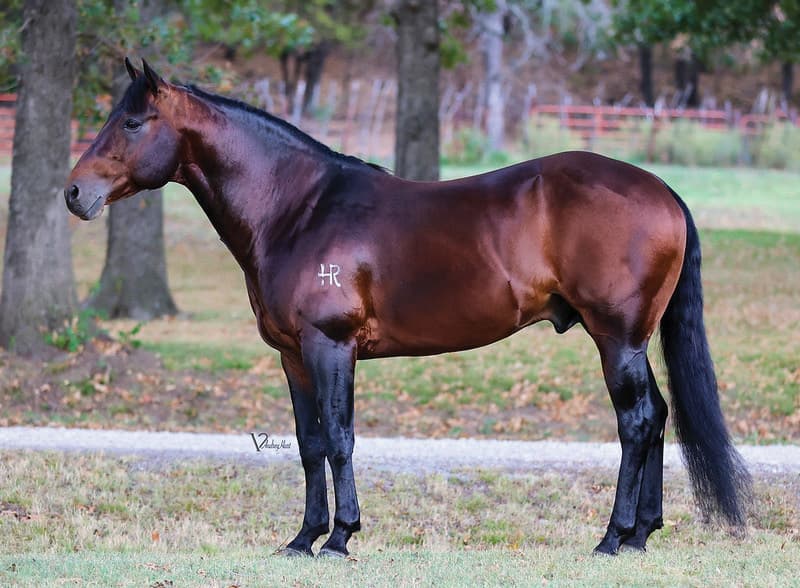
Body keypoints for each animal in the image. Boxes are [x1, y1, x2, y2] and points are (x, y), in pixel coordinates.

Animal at [65, 59, 751, 557]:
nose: (74, 193)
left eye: (133, 122)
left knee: (636, 422)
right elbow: (309, 444)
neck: (298, 210)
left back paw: (612, 538)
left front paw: (340, 539)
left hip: (616, 339)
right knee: (657, 416)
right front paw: (303, 538)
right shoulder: (293, 357)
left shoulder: (331, 346)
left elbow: (339, 438)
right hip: (631, 340)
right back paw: (640, 535)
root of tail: (662, 191)